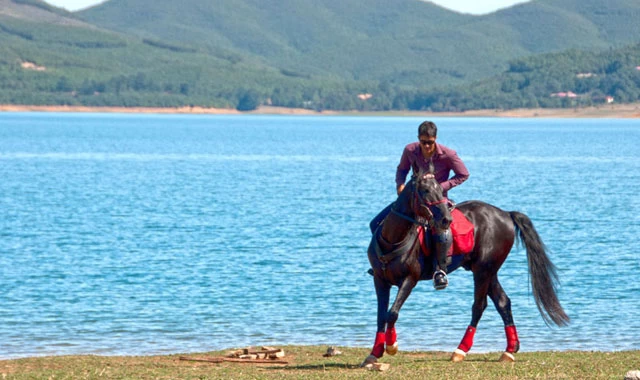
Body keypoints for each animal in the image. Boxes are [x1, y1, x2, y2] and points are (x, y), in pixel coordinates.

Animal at [364, 169, 568, 366]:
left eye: (440, 190)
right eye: (425, 190)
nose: (446, 219)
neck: (393, 241)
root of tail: (505, 214)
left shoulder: (409, 279)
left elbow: (392, 313)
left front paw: (392, 345)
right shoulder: (380, 280)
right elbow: (381, 315)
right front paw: (374, 353)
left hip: (483, 270)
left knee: (479, 306)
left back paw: (460, 350)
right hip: (489, 271)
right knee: (503, 302)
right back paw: (509, 350)